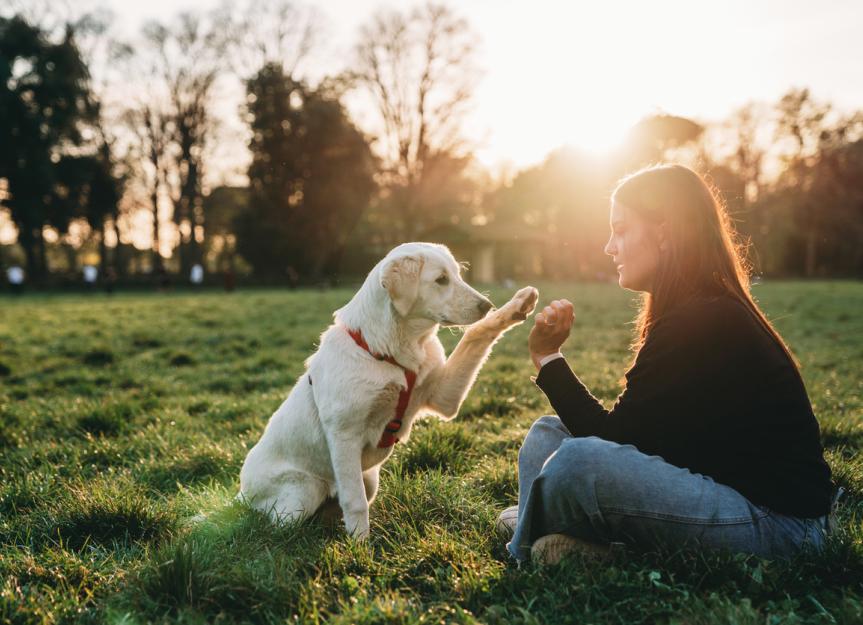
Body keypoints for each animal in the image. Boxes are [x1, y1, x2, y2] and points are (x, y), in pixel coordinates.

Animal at [240, 241, 536, 540]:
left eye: (458, 274)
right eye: (441, 279)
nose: (486, 305)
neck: (392, 351)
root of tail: (240, 493)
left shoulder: (443, 397)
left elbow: (475, 334)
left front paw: (515, 307)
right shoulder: (344, 434)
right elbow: (355, 501)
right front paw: (360, 546)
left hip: (369, 479)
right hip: (303, 492)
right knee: (277, 525)